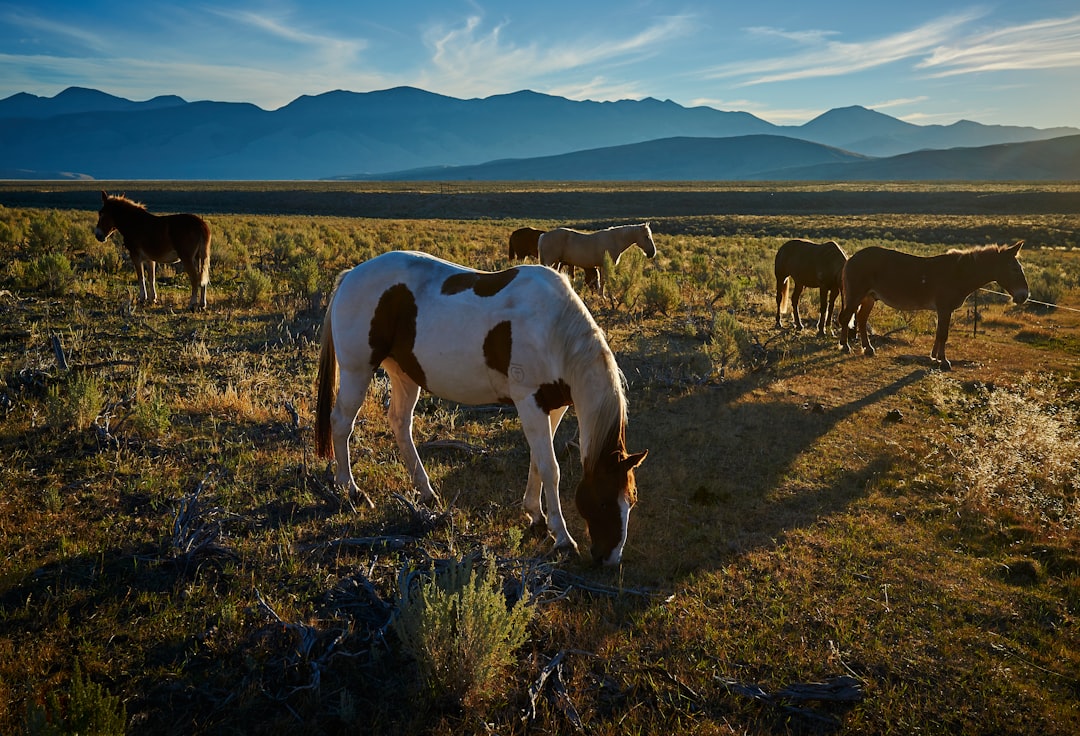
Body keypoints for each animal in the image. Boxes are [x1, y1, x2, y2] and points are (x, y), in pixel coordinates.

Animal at [315, 250, 648, 565]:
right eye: (603, 501)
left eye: (630, 500)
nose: (609, 559)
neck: (554, 329)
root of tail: (350, 275)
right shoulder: (529, 402)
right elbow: (551, 469)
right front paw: (563, 538)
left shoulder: (553, 407)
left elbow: (538, 462)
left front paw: (536, 516)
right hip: (358, 370)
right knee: (341, 422)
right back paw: (351, 490)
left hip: (404, 374)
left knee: (399, 424)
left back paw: (426, 492)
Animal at [837, 242, 1028, 369]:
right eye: (1014, 269)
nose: (1024, 296)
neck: (959, 273)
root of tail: (852, 258)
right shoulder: (944, 308)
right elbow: (943, 334)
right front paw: (943, 361)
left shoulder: (943, 310)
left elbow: (939, 333)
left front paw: (934, 357)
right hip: (856, 295)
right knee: (845, 318)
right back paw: (845, 346)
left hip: (869, 297)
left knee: (861, 320)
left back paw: (868, 349)